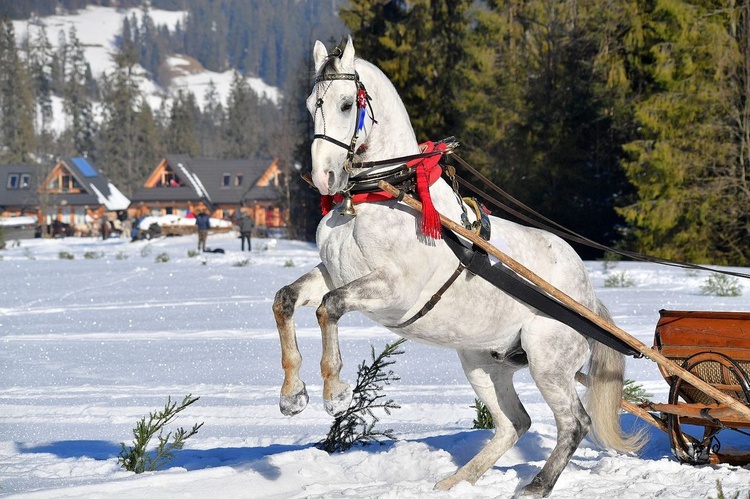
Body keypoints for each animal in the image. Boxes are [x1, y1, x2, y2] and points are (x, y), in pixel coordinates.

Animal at [276, 37, 648, 498]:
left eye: (347, 104)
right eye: (313, 104)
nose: (323, 177)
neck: (378, 198)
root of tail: (588, 299)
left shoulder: (392, 288)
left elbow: (329, 307)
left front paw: (336, 393)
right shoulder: (335, 272)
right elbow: (287, 299)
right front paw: (292, 395)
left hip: (548, 359)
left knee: (574, 423)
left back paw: (535, 486)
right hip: (482, 362)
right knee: (514, 423)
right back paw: (454, 482)